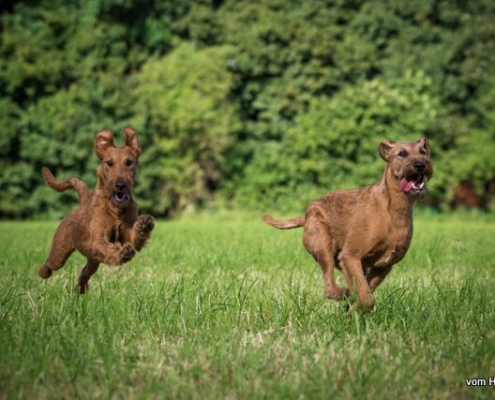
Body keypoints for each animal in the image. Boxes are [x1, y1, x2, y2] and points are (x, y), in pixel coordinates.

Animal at [38, 126, 154, 292]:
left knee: (85, 272)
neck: (115, 211)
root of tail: (82, 204)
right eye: (109, 162)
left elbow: (135, 239)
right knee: (51, 263)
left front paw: (144, 225)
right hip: (60, 251)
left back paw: (80, 289)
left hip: (93, 261)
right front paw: (122, 253)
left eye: (129, 162)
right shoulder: (97, 240)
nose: (120, 185)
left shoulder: (129, 235)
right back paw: (43, 273)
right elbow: (107, 248)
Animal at [264, 139, 434, 310]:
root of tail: (305, 215)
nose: (421, 165)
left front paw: (352, 309)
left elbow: (366, 290)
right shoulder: (351, 256)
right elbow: (366, 297)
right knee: (330, 287)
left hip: (341, 259)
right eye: (402, 153)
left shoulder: (383, 266)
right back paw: (341, 293)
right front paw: (355, 309)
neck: (394, 210)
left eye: (423, 152)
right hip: (323, 245)